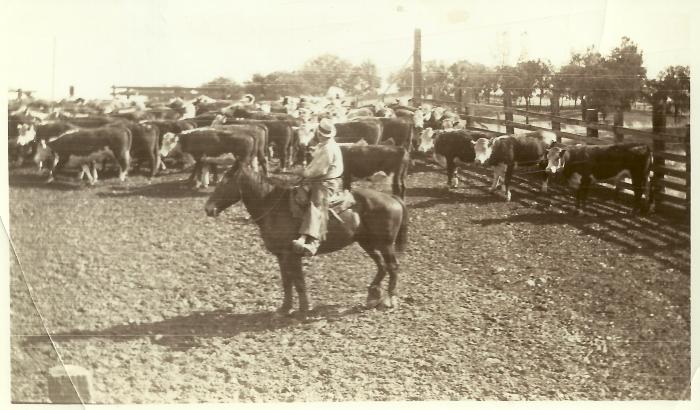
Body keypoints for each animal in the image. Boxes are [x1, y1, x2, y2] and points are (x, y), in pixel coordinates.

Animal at [205, 163, 408, 318]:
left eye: (225, 182)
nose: (208, 208)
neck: (274, 207)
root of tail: (392, 197)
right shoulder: (281, 256)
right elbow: (287, 281)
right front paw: (284, 309)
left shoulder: (292, 255)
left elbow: (298, 281)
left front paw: (304, 310)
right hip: (366, 242)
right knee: (381, 265)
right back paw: (373, 296)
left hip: (386, 244)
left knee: (392, 266)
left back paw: (389, 300)